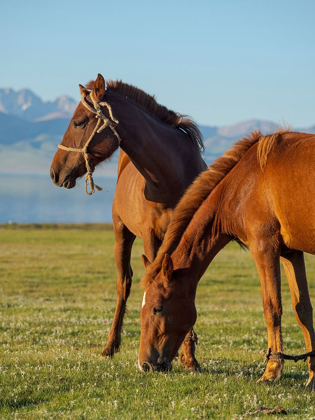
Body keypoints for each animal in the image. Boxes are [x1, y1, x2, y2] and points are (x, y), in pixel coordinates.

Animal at [50, 74, 206, 370]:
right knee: (124, 284)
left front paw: (189, 357)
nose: (55, 171)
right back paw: (110, 346)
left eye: (79, 122)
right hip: (121, 234)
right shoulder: (151, 238)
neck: (171, 176)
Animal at [139, 130, 315, 388]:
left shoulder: (264, 247)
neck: (246, 182)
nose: (145, 364)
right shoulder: (290, 253)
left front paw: (271, 371)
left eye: (157, 308)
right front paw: (312, 377)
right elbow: (303, 309)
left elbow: (272, 307)